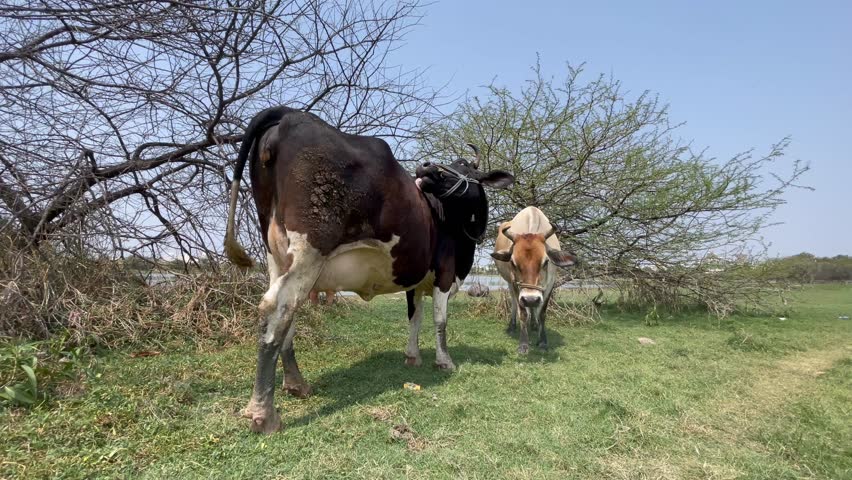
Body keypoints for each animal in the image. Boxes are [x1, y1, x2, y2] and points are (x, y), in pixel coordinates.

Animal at [223, 106, 513, 433]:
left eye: (461, 164)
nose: (424, 167)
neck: (447, 219)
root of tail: (290, 113)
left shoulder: (413, 280)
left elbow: (415, 318)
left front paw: (412, 357)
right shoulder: (445, 273)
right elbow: (440, 321)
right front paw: (444, 361)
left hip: (277, 253)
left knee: (287, 312)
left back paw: (297, 385)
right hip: (311, 249)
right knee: (277, 307)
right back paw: (263, 413)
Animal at [491, 207, 577, 354]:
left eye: (546, 261)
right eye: (513, 262)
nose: (530, 299)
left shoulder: (550, 284)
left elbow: (542, 312)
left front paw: (542, 341)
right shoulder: (516, 285)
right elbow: (523, 313)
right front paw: (523, 344)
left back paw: (534, 325)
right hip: (510, 284)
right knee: (514, 302)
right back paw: (512, 326)